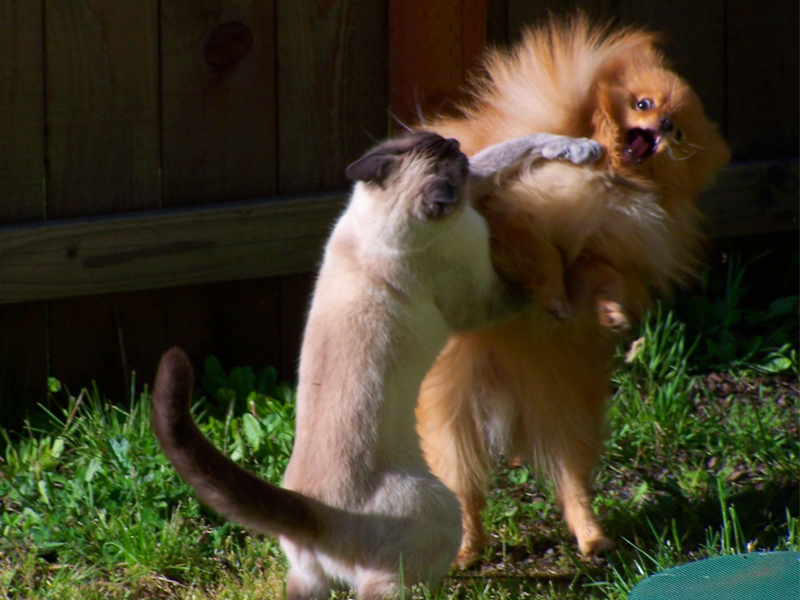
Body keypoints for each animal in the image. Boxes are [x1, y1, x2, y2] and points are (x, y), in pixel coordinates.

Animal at [152, 129, 600, 596]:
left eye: (448, 146)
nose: (455, 141)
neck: (387, 225)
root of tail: (311, 512)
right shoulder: (478, 301)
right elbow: (536, 286)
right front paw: (575, 287)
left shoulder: (476, 186)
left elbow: (517, 146)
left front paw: (580, 149)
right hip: (440, 510)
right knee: (392, 585)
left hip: (308, 577)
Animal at [418, 15, 732, 568]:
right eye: (644, 104)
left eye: (679, 126)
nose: (664, 127)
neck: (609, 180)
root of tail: (509, 391)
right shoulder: (511, 224)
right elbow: (542, 257)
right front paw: (555, 300)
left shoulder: (601, 254)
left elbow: (601, 280)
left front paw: (607, 315)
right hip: (452, 421)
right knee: (464, 490)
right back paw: (464, 551)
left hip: (567, 412)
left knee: (570, 480)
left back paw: (592, 538)